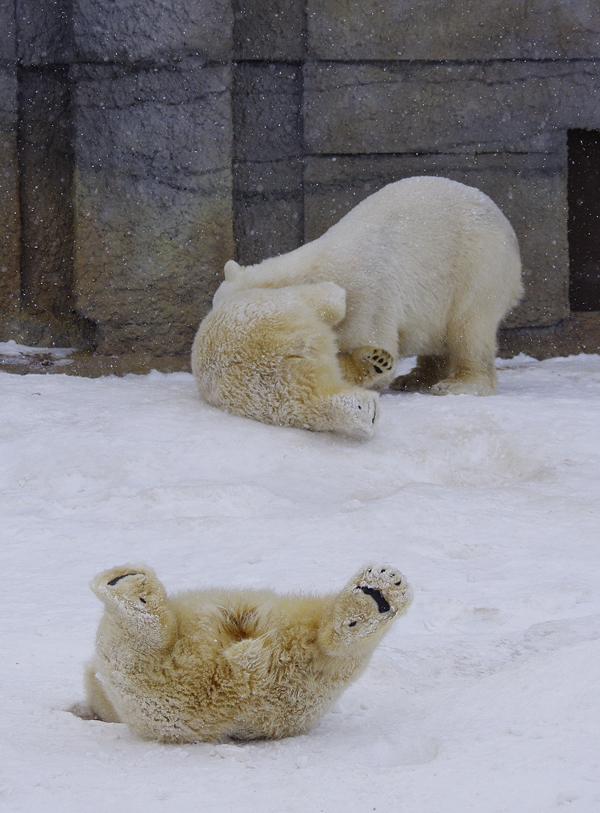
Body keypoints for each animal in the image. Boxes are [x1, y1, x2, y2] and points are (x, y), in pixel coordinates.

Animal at [192, 174, 520, 434]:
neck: (311, 271)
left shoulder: (367, 299)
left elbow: (373, 340)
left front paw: (374, 363)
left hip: (478, 264)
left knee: (469, 327)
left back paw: (458, 384)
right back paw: (415, 378)